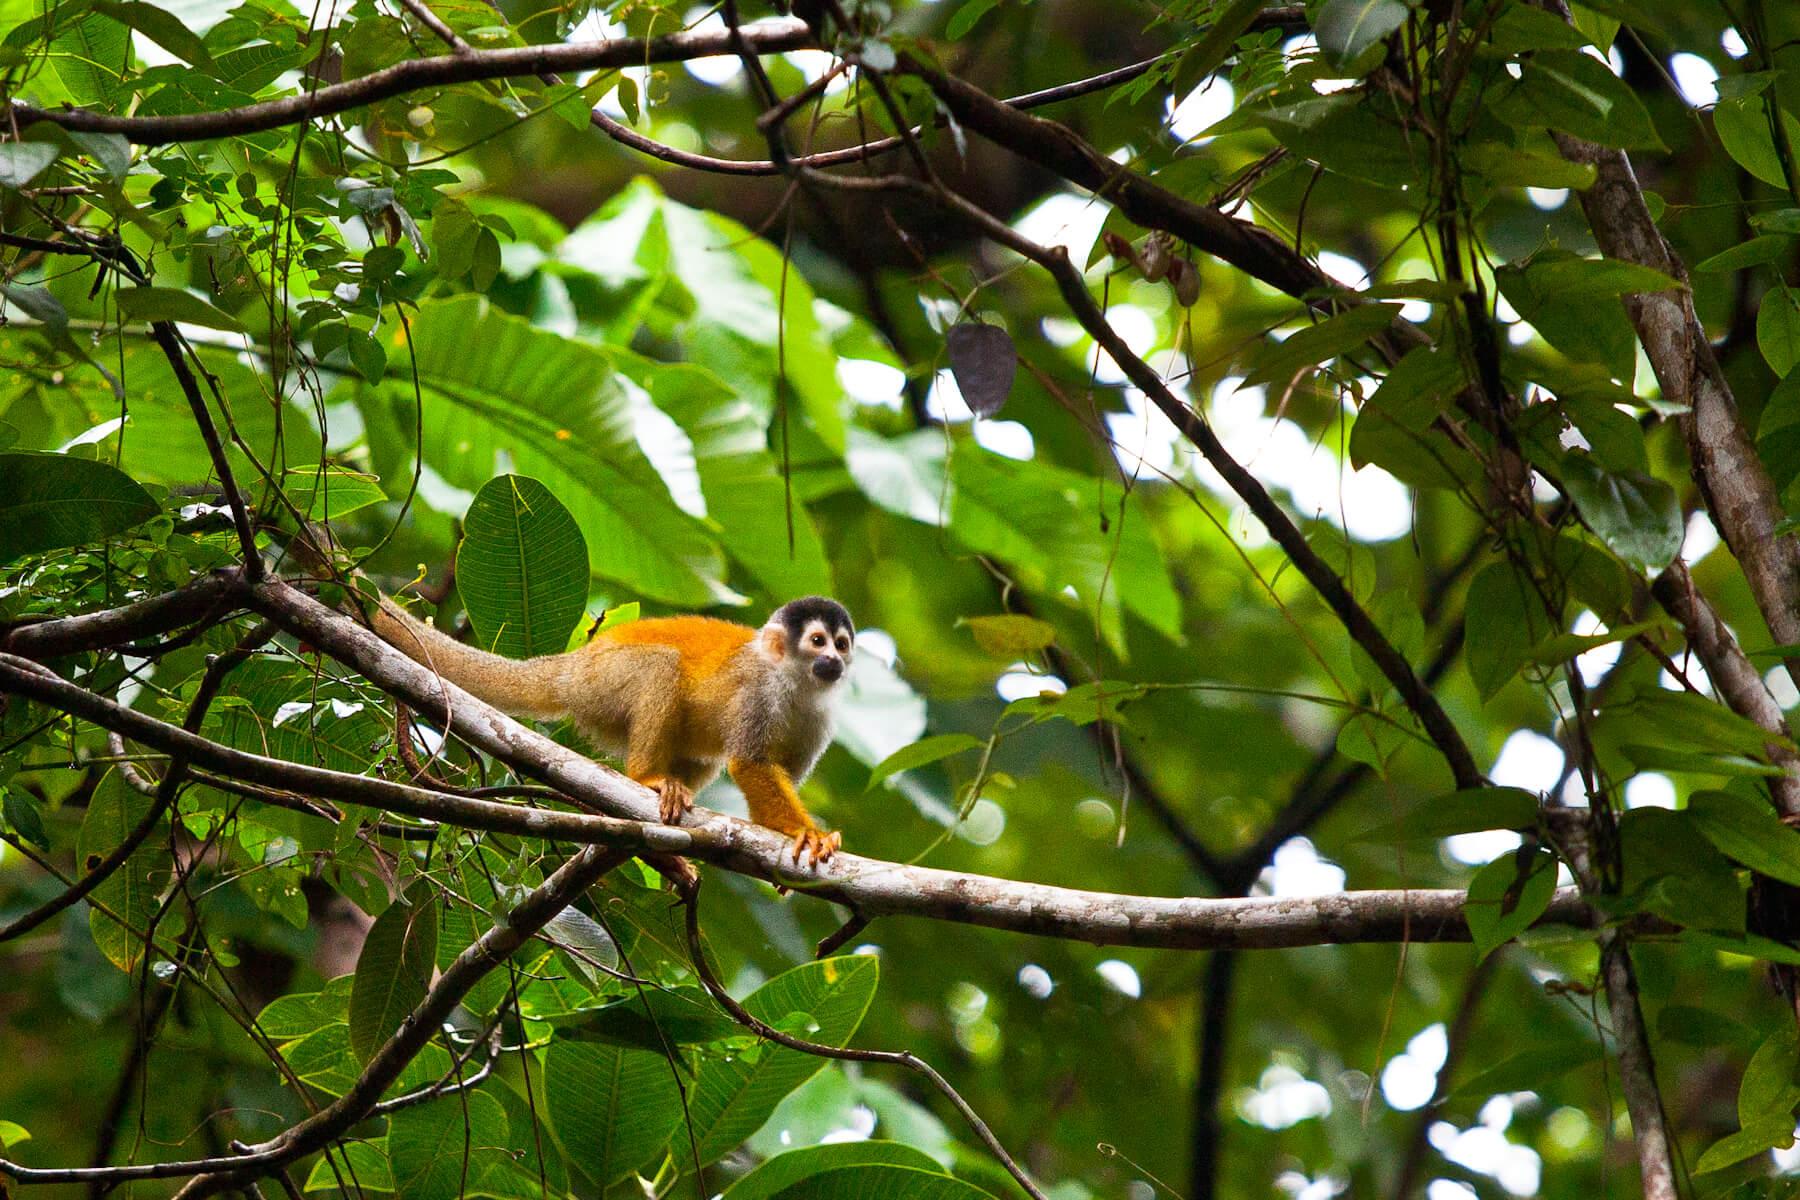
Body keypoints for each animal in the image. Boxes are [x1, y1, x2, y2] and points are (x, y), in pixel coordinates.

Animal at [369, 593, 853, 863]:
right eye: (817, 642)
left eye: (842, 644)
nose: (835, 660)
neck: (794, 682)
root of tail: (573, 664)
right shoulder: (757, 690)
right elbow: (750, 763)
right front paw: (808, 833)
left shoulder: (823, 716)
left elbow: (776, 777)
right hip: (602, 681)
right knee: (661, 667)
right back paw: (647, 777)